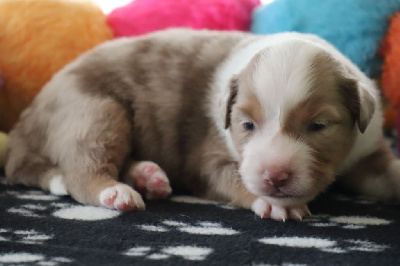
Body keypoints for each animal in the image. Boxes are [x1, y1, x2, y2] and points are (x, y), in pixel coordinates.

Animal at [5, 29, 400, 220]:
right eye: (246, 125)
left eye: (318, 126)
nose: (274, 177)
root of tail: (26, 122)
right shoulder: (208, 153)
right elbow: (228, 175)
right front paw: (274, 203)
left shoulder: (368, 149)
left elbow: (386, 172)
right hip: (93, 109)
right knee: (82, 165)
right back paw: (116, 192)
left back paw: (148, 176)